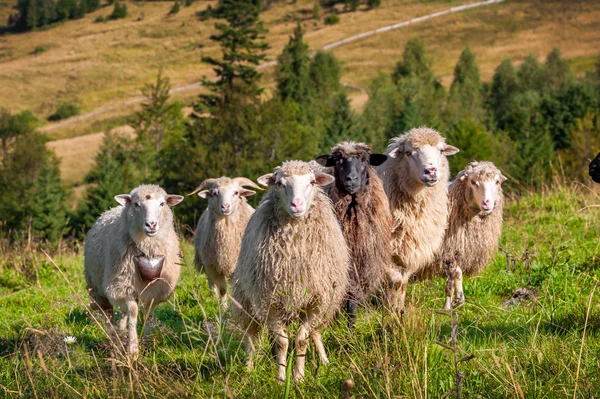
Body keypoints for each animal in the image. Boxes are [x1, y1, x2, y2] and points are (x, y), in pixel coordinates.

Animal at [82, 184, 183, 356]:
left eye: (162, 204)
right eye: (136, 204)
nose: (151, 225)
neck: (148, 247)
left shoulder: (155, 289)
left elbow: (148, 314)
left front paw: (146, 340)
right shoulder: (123, 286)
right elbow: (133, 311)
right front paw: (133, 349)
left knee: (122, 313)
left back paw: (121, 330)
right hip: (98, 288)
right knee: (108, 314)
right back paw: (113, 339)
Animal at [189, 177, 262, 306]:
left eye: (236, 192)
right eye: (214, 193)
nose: (225, 207)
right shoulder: (215, 267)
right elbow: (223, 289)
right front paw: (223, 306)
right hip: (208, 264)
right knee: (212, 284)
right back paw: (213, 301)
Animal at [231, 159, 352, 382]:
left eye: (312, 182)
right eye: (279, 183)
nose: (297, 205)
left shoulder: (317, 300)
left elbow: (302, 339)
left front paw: (298, 377)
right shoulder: (270, 300)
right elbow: (282, 342)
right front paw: (280, 378)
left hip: (326, 302)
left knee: (315, 332)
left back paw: (324, 361)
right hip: (246, 300)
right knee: (250, 335)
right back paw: (249, 368)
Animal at [314, 141, 394, 324]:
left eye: (365, 160)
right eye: (338, 160)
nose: (351, 179)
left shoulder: (361, 265)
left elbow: (352, 300)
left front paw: (350, 326)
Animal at [376, 127, 460, 312]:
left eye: (441, 150)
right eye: (408, 152)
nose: (431, 171)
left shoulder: (412, 247)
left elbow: (402, 283)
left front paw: (398, 309)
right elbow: (395, 281)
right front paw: (390, 311)